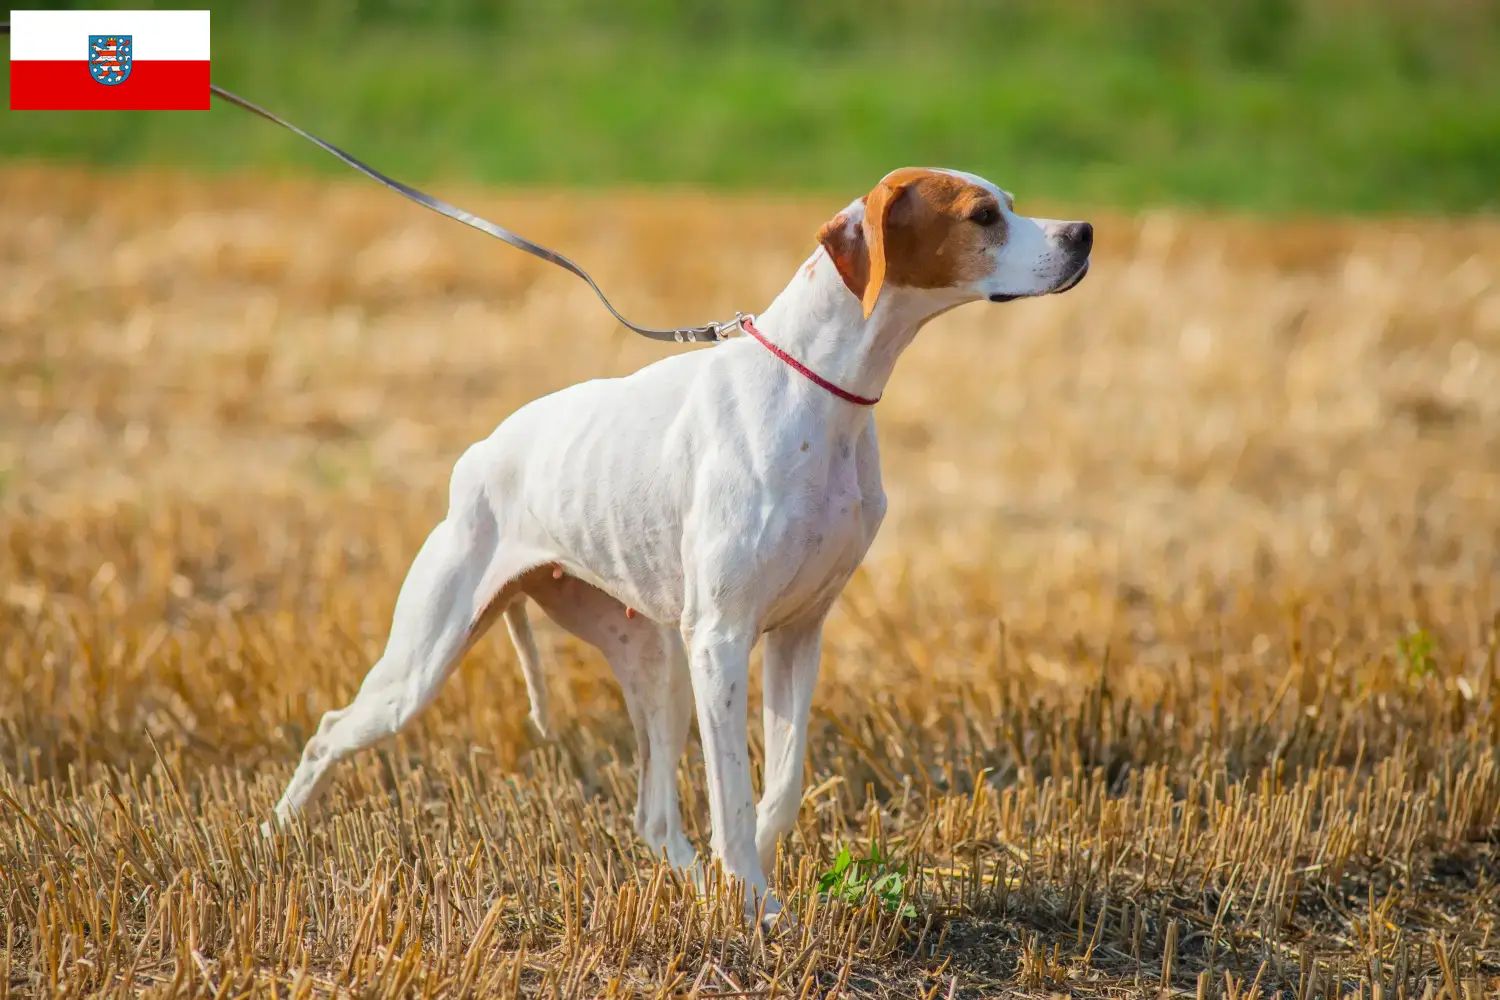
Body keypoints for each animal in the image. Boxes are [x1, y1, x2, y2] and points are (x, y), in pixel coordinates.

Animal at [273, 166, 1092, 923]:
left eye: (1010, 204)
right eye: (983, 216)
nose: (1083, 232)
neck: (819, 393)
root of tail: (479, 454)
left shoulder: (799, 633)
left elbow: (782, 785)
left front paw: (752, 884)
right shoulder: (722, 639)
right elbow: (731, 790)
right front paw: (755, 904)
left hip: (654, 660)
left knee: (653, 814)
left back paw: (695, 888)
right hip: (424, 664)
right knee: (327, 732)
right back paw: (275, 838)